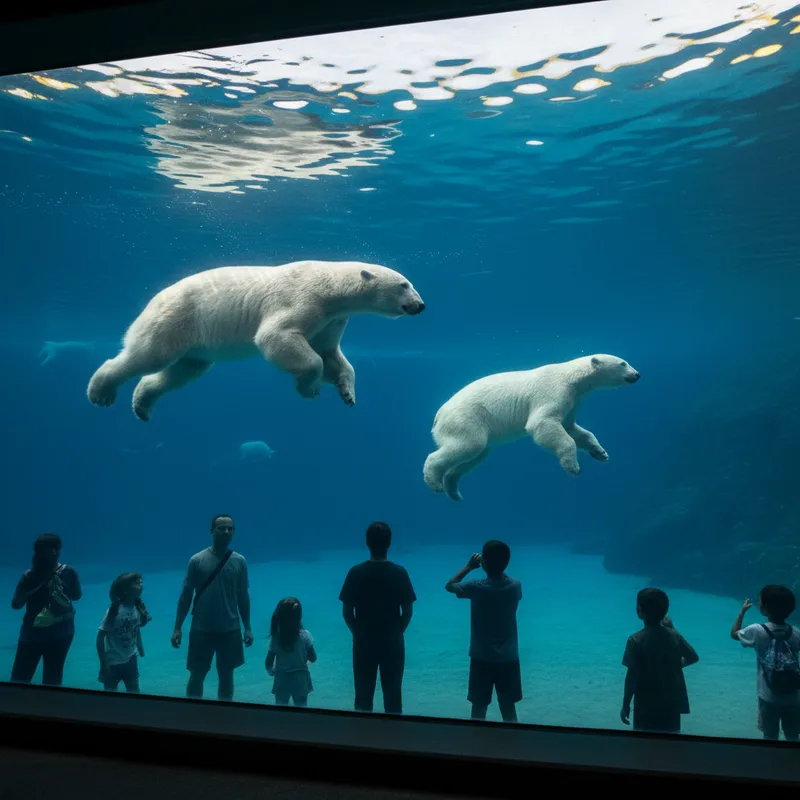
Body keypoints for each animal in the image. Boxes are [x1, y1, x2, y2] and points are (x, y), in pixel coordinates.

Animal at [87, 260, 425, 421]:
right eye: (404, 284)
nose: (420, 305)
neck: (331, 287)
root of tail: (152, 301)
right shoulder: (302, 299)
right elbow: (277, 338)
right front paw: (310, 388)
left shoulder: (331, 319)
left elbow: (330, 354)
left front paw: (347, 393)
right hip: (175, 318)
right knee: (148, 355)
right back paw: (101, 392)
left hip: (194, 340)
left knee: (183, 370)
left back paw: (142, 405)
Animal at [422, 354, 640, 501]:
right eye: (623, 363)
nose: (637, 375)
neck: (570, 377)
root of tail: (437, 418)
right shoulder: (553, 392)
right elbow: (543, 425)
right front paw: (573, 467)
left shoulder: (573, 401)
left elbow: (573, 429)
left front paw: (600, 452)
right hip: (466, 419)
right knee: (468, 446)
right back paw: (435, 483)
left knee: (477, 455)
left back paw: (453, 490)